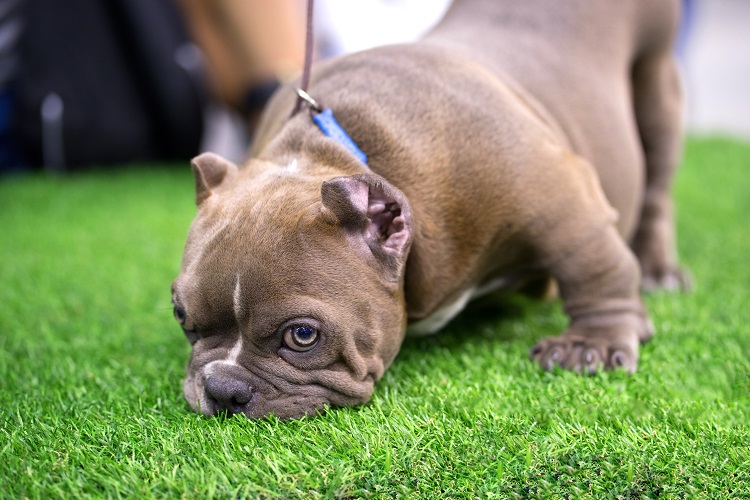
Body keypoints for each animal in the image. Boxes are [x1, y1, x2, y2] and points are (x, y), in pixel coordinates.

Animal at [172, 0, 692, 418]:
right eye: (181, 316)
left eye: (302, 336)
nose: (223, 388)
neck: (328, 153)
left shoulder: (560, 201)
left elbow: (593, 266)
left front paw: (593, 344)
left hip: (654, 85)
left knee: (656, 189)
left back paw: (658, 269)